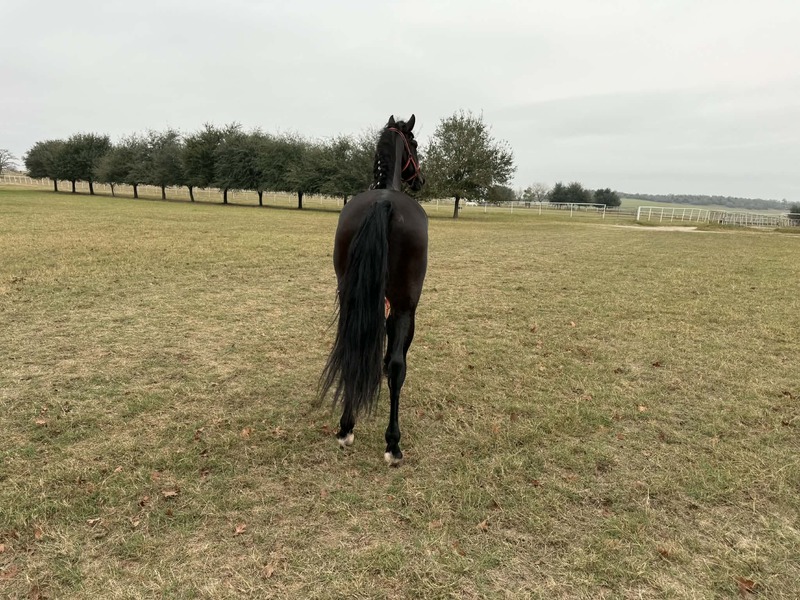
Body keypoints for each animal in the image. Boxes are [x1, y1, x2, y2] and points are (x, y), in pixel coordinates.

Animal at [319, 115, 427, 466]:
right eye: (414, 144)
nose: (420, 179)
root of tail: (384, 202)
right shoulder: (399, 306)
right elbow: (392, 360)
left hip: (351, 298)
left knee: (351, 350)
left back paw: (346, 427)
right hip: (406, 304)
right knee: (396, 366)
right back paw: (393, 444)